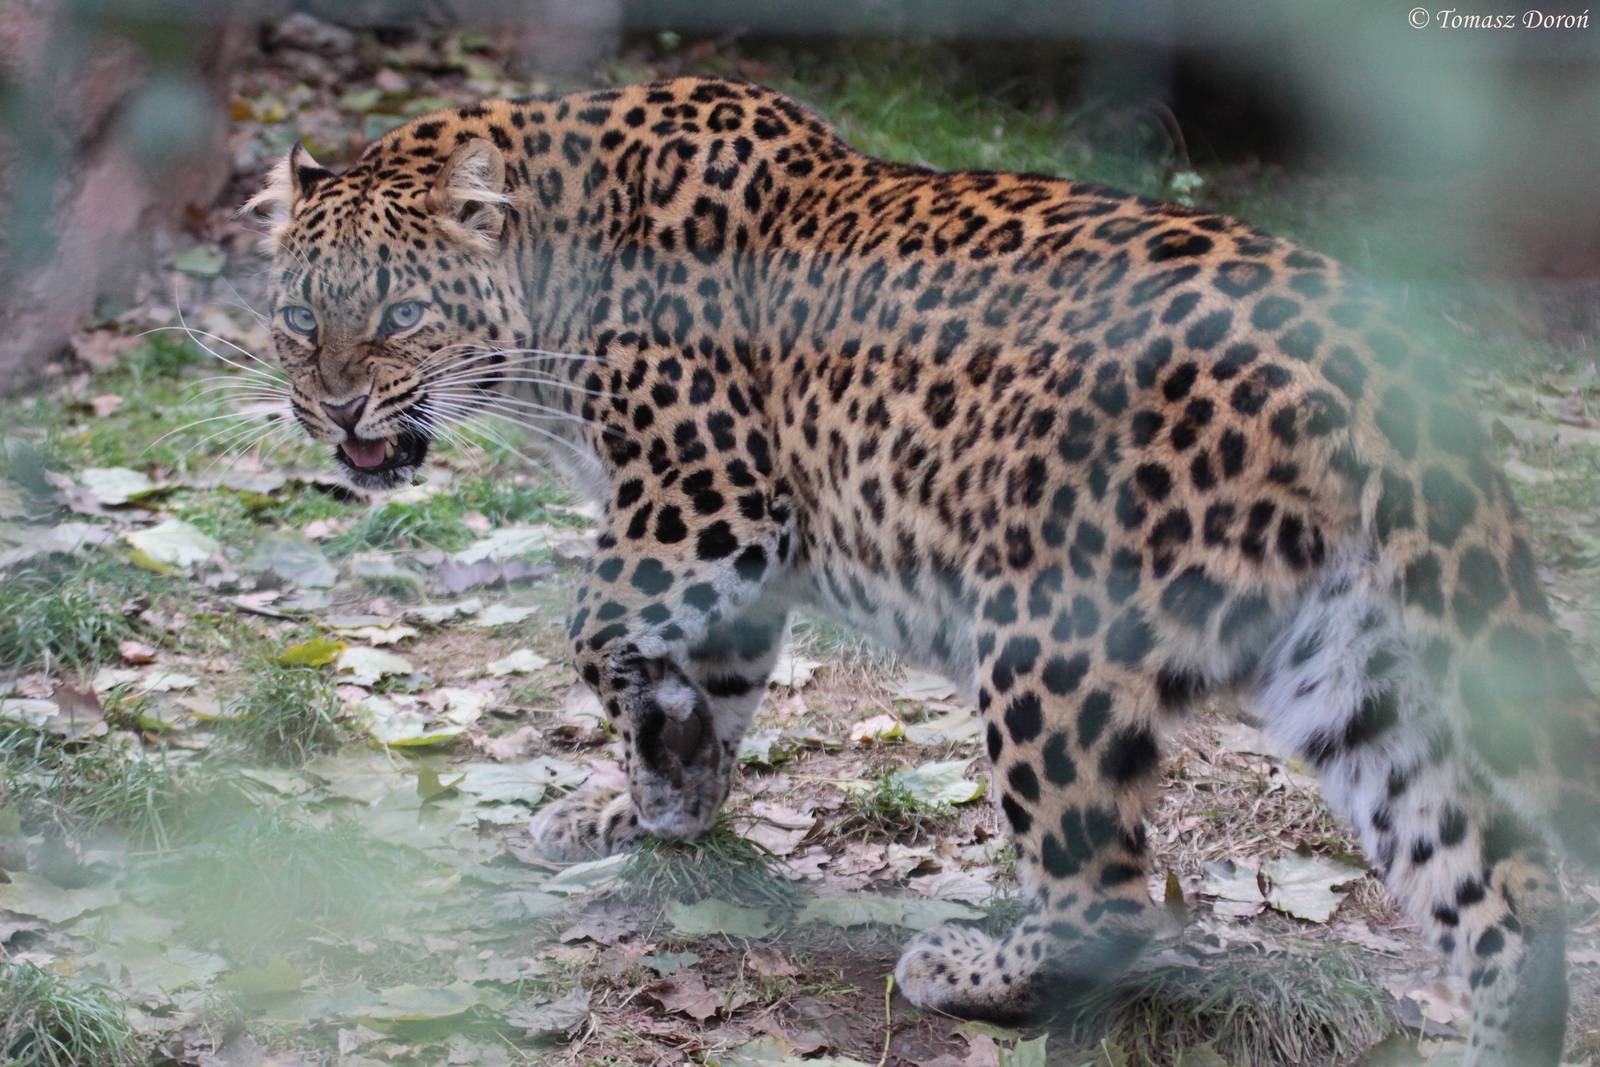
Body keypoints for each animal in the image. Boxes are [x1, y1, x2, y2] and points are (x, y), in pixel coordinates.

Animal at [246, 75, 1600, 1064]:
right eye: (300, 318)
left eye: (402, 315)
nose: (336, 407)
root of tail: (1384, 353)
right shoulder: (733, 551)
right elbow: (705, 686)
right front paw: (654, 797)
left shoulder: (709, 502)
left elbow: (595, 629)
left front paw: (653, 751)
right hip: (1360, 669)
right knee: (1502, 887)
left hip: (1051, 638)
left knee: (1115, 889)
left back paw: (968, 969)